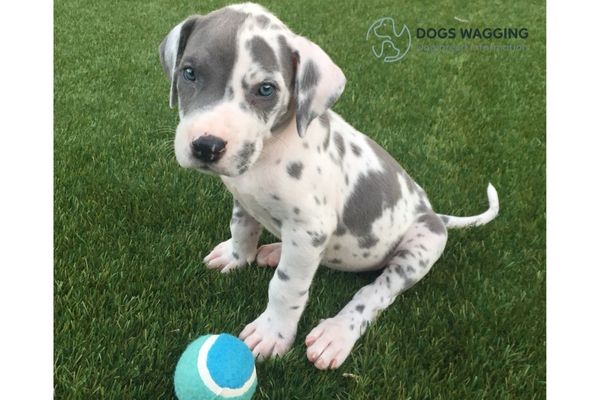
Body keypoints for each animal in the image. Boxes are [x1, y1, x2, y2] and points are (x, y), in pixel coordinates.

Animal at [158, 2, 496, 368]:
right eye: (189, 73)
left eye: (266, 89)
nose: (207, 146)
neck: (270, 151)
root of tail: (434, 213)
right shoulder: (246, 201)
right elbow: (242, 229)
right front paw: (237, 256)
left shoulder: (310, 229)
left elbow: (286, 287)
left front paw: (272, 333)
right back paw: (275, 251)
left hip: (419, 248)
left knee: (376, 292)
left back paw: (336, 333)